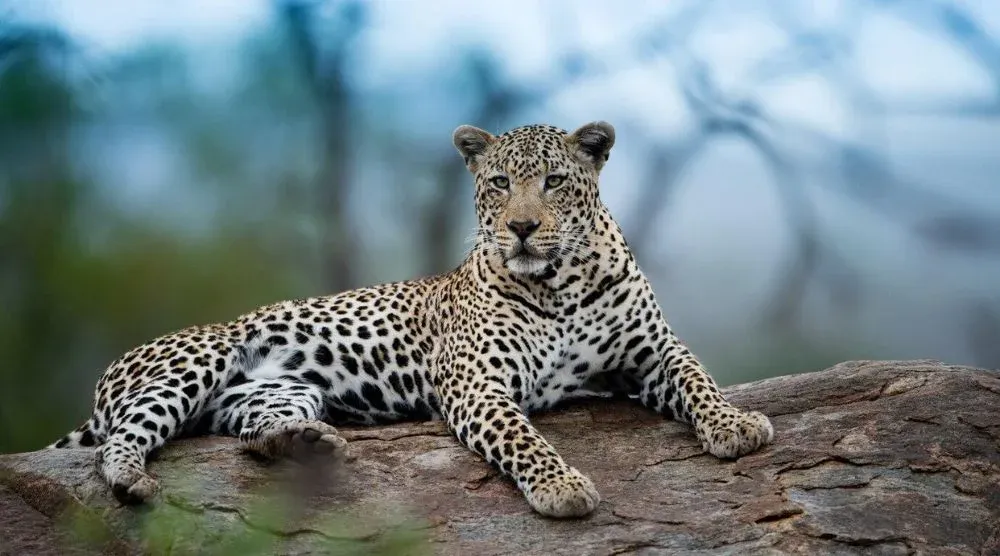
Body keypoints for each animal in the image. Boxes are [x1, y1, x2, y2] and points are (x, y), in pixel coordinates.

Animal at [50, 121, 774, 518]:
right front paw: (561, 485)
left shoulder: (652, 353)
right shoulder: (478, 383)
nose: (521, 228)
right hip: (198, 360)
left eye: (554, 182)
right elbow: (523, 437)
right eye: (499, 183)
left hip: (273, 393)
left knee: (249, 437)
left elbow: (698, 378)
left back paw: (304, 444)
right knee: (121, 440)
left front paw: (736, 424)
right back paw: (132, 480)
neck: (561, 285)